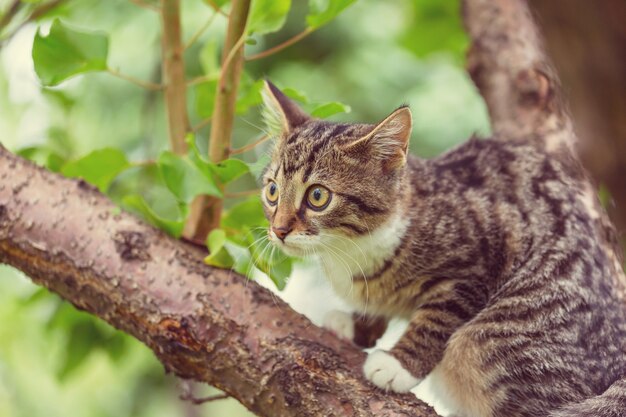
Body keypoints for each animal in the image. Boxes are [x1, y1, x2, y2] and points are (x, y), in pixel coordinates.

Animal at [258, 81, 624, 416]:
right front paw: (357, 325)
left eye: (318, 196)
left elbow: (437, 318)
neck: (350, 249)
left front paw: (398, 365)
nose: (279, 230)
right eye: (272, 190)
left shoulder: (485, 252)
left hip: (495, 341)